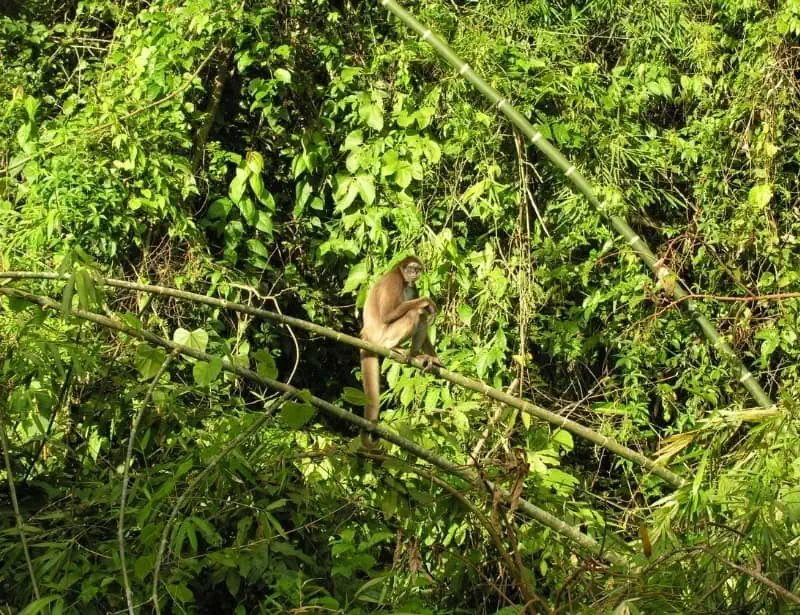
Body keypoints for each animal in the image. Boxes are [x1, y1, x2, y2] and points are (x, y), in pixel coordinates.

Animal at [359, 256, 443, 446]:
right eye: (411, 269)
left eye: (417, 269)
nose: (414, 274)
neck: (403, 280)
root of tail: (366, 334)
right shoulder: (394, 280)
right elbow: (388, 314)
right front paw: (427, 302)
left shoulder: (412, 286)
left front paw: (434, 359)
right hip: (383, 336)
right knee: (415, 312)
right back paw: (394, 347)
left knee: (420, 315)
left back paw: (417, 355)